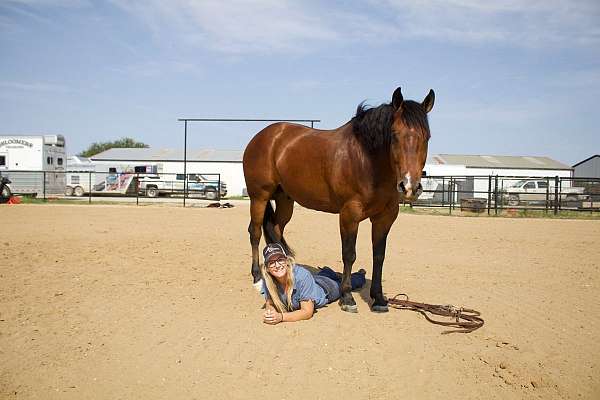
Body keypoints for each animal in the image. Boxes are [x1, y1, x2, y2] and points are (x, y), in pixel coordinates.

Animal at [241, 87, 434, 312]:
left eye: (427, 136)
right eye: (394, 135)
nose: (409, 186)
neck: (366, 161)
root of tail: (263, 137)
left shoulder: (385, 217)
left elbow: (379, 256)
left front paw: (378, 298)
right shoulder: (350, 214)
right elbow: (349, 254)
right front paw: (347, 297)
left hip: (285, 200)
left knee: (276, 229)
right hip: (259, 197)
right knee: (254, 232)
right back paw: (257, 277)